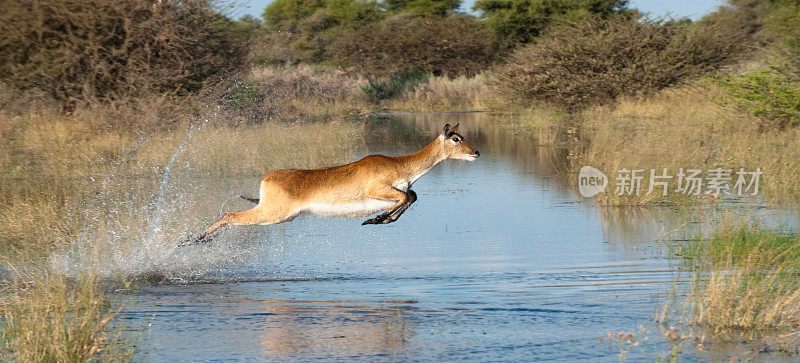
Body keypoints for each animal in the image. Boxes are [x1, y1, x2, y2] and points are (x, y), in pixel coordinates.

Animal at [188, 123, 478, 246]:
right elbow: (406, 198)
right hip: (271, 214)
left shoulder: (399, 191)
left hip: (278, 216)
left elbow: (412, 196)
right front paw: (373, 220)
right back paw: (192, 240)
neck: (399, 165)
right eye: (456, 138)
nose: (476, 152)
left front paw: (378, 220)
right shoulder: (378, 190)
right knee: (230, 214)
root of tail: (267, 178)